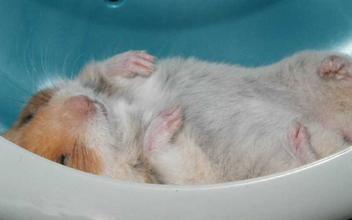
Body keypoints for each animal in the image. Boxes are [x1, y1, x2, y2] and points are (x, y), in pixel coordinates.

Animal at [3, 49, 352, 184]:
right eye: (64, 161)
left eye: (29, 115)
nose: (84, 103)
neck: (122, 123)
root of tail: (338, 133)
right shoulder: (176, 179)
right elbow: (168, 156)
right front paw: (169, 118)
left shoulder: (107, 85)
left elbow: (100, 70)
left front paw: (141, 61)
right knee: (306, 158)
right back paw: (298, 137)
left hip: (300, 73)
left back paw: (334, 67)